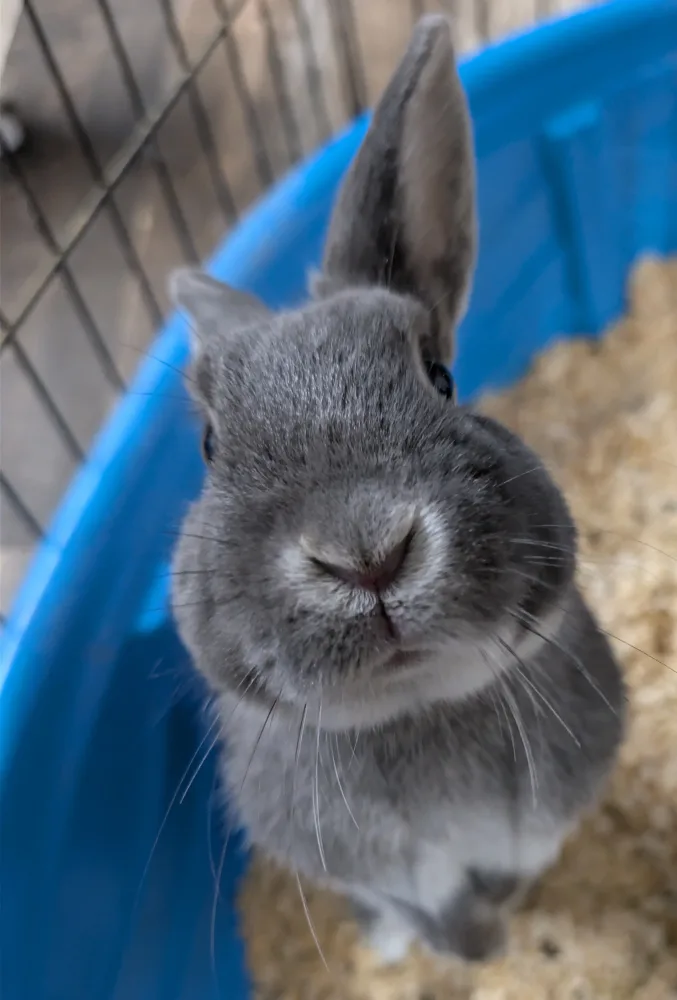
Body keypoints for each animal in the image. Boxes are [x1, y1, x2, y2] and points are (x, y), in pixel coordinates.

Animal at [169, 15, 625, 965]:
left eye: (440, 377)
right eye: (209, 444)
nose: (366, 556)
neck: (417, 707)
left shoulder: (534, 828)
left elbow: (512, 874)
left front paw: (493, 939)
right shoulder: (386, 871)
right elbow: (430, 907)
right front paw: (471, 951)